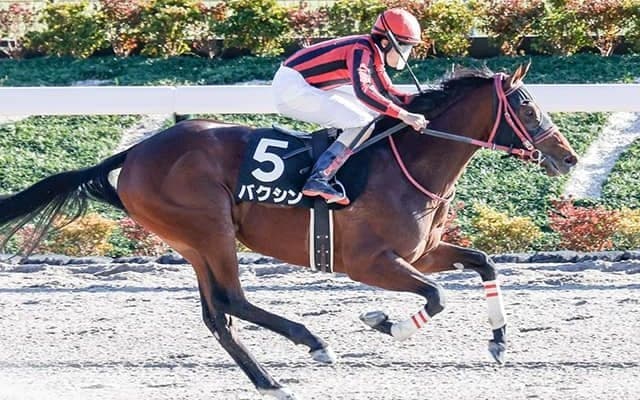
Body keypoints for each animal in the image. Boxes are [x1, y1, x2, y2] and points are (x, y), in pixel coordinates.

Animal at [0, 64, 578, 399]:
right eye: (527, 106)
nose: (567, 157)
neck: (407, 160)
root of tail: (137, 151)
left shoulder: (423, 250)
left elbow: (482, 261)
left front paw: (499, 342)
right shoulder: (368, 262)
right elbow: (435, 296)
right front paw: (382, 323)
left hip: (193, 244)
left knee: (217, 314)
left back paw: (268, 380)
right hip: (210, 230)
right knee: (232, 299)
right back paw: (311, 342)